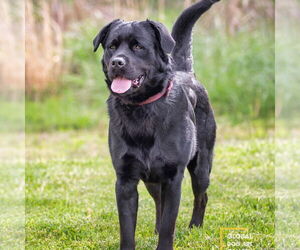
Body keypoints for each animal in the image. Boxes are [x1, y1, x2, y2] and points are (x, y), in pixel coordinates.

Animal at [92, 0, 219, 249]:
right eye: (111, 46)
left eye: (138, 46)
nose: (117, 62)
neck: (141, 109)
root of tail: (186, 72)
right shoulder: (125, 180)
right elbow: (127, 229)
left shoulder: (173, 178)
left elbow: (170, 225)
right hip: (151, 179)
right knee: (159, 200)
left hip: (201, 166)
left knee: (201, 195)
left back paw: (195, 227)